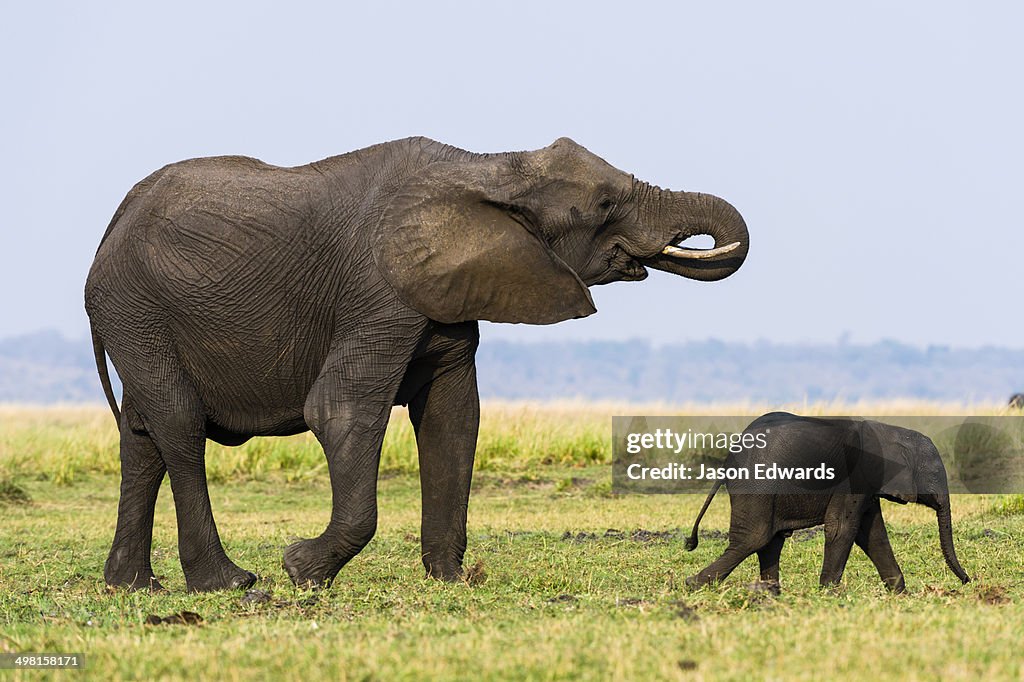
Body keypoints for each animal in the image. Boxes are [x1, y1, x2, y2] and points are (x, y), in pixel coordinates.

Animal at [86, 137, 745, 589]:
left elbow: (454, 418)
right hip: (135, 308)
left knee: (142, 436)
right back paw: (229, 584)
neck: (491, 166)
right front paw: (302, 570)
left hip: (137, 317)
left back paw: (132, 586)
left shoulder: (449, 293)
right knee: (179, 427)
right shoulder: (379, 294)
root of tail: (112, 223)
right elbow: (342, 410)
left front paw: (452, 580)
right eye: (605, 203)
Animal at [688, 409, 966, 589]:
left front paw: (899, 593)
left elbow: (872, 534)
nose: (967, 580)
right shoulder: (857, 474)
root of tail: (729, 457)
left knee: (770, 541)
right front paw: (828, 593)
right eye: (935, 474)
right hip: (757, 481)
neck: (890, 431)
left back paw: (770, 595)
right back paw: (693, 585)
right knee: (754, 537)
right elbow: (841, 527)